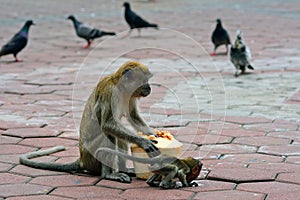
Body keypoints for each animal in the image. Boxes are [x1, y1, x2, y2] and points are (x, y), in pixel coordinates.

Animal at [19, 60, 161, 183]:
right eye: (144, 80)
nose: (149, 87)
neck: (119, 87)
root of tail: (82, 158)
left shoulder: (129, 95)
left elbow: (133, 116)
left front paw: (153, 135)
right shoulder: (110, 92)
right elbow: (107, 125)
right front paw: (143, 141)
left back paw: (123, 170)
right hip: (91, 156)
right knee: (108, 134)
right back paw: (108, 174)